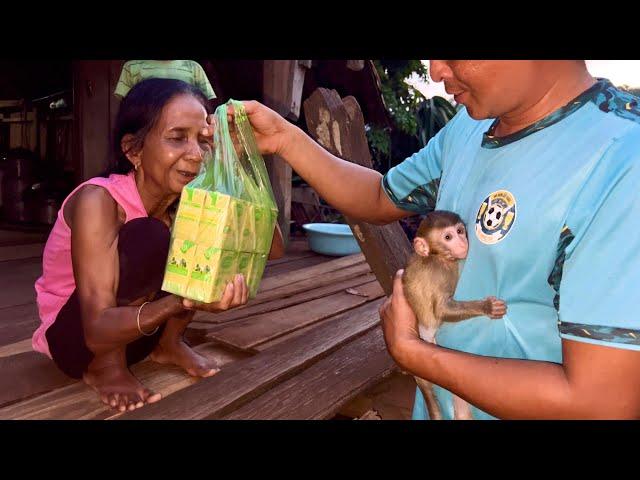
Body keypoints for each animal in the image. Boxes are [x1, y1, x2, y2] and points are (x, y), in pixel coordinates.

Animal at [404, 211, 504, 420]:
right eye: (448, 237)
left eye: (459, 231)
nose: (463, 241)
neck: (436, 256)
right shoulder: (440, 274)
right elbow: (441, 310)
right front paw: (487, 307)